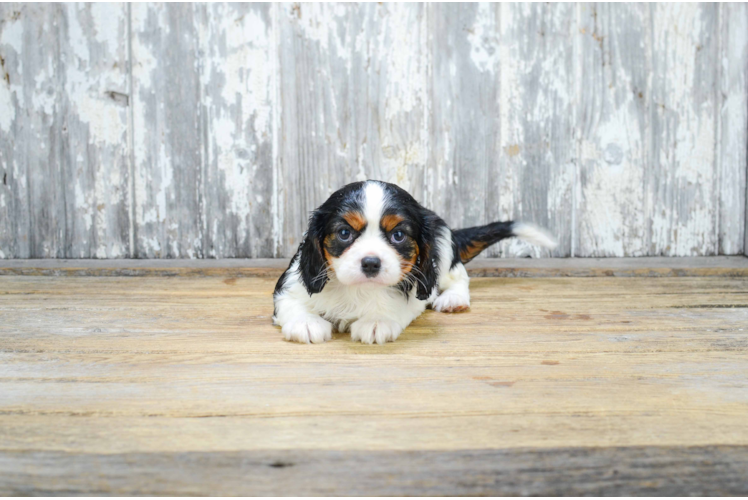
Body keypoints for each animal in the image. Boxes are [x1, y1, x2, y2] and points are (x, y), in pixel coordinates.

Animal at [270, 182, 556, 346]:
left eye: (398, 235)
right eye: (344, 233)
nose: (371, 263)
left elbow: (399, 304)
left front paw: (377, 321)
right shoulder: (291, 283)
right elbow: (290, 301)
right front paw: (306, 322)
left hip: (443, 243)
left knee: (459, 276)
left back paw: (453, 299)